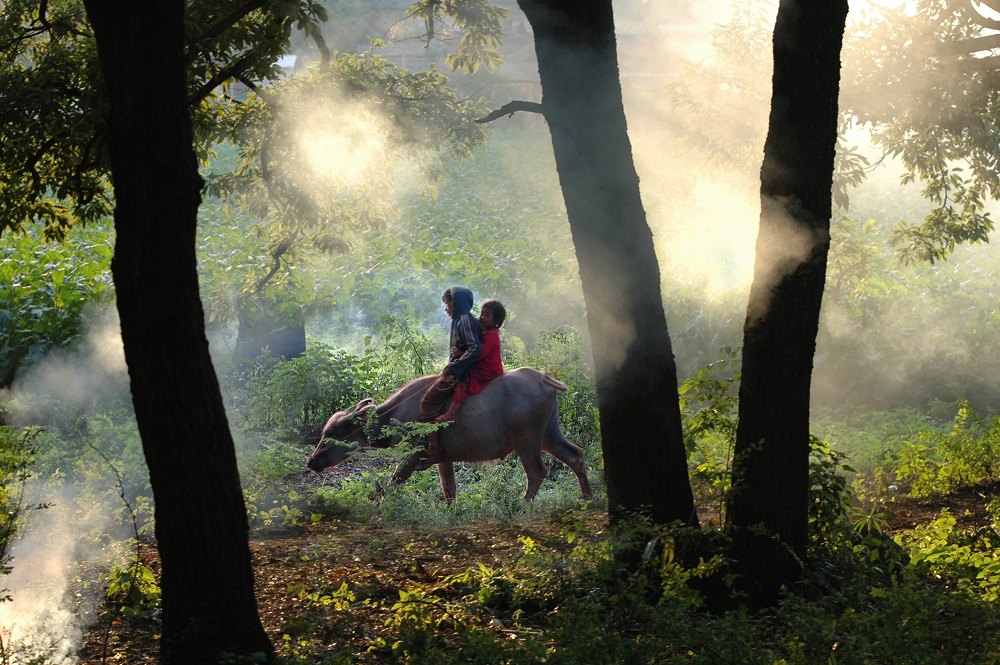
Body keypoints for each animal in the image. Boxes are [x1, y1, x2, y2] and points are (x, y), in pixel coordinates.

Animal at [308, 366, 592, 500]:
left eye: (332, 432)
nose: (312, 461)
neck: (398, 415)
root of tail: (542, 378)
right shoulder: (443, 459)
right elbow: (449, 490)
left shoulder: (412, 457)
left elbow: (391, 484)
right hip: (549, 434)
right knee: (575, 456)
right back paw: (587, 497)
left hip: (526, 440)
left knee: (536, 471)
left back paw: (523, 506)